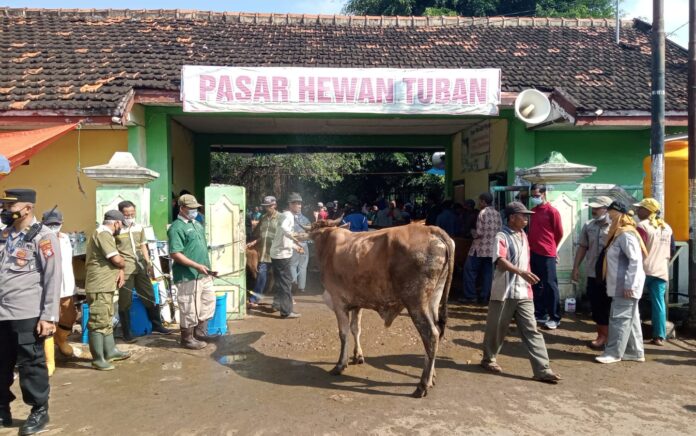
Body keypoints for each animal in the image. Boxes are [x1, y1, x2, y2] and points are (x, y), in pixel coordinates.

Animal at [308, 223, 454, 396]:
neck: (327, 243)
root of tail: (431, 229)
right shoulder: (357, 303)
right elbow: (355, 329)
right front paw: (358, 356)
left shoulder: (338, 302)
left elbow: (343, 334)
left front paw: (340, 365)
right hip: (434, 299)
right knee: (435, 333)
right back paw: (431, 377)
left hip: (416, 303)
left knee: (431, 335)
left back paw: (422, 385)